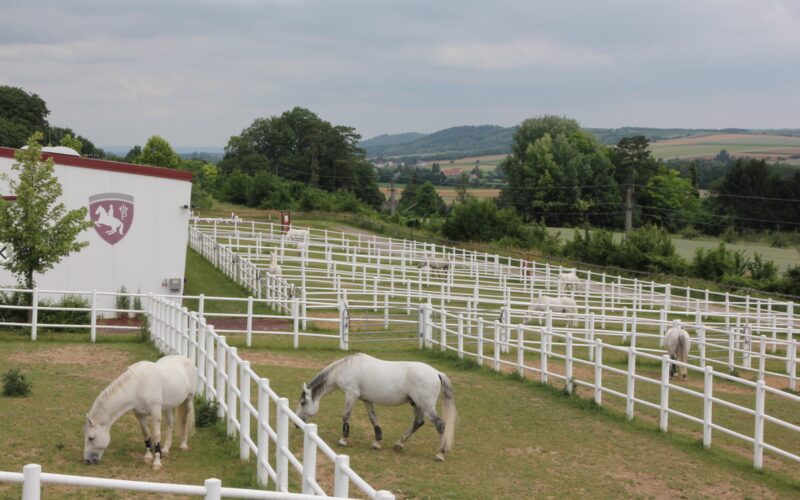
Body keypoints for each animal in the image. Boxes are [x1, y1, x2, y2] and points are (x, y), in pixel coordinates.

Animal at [295, 353, 457, 461]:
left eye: (303, 402)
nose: (297, 423)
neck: (346, 368)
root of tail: (437, 373)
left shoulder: (351, 395)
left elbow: (346, 416)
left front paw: (343, 440)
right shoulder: (367, 400)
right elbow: (373, 419)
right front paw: (377, 442)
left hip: (426, 406)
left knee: (440, 425)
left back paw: (440, 453)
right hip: (417, 404)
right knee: (418, 422)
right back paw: (399, 444)